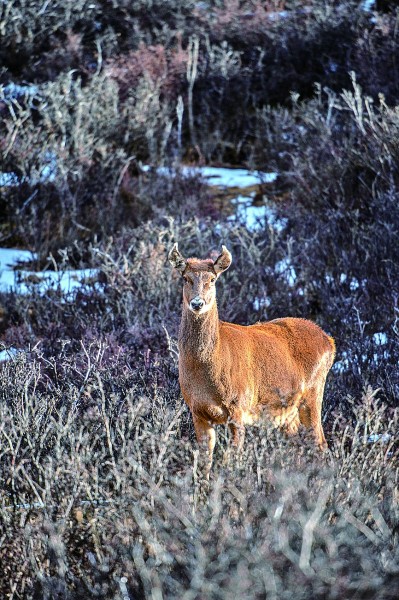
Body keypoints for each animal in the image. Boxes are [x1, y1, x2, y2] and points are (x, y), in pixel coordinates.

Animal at [167, 241, 336, 476]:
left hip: (313, 393)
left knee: (320, 444)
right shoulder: (197, 410)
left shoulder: (238, 405)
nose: (197, 303)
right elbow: (203, 465)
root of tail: (330, 341)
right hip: (287, 412)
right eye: (185, 278)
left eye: (213, 279)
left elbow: (231, 460)